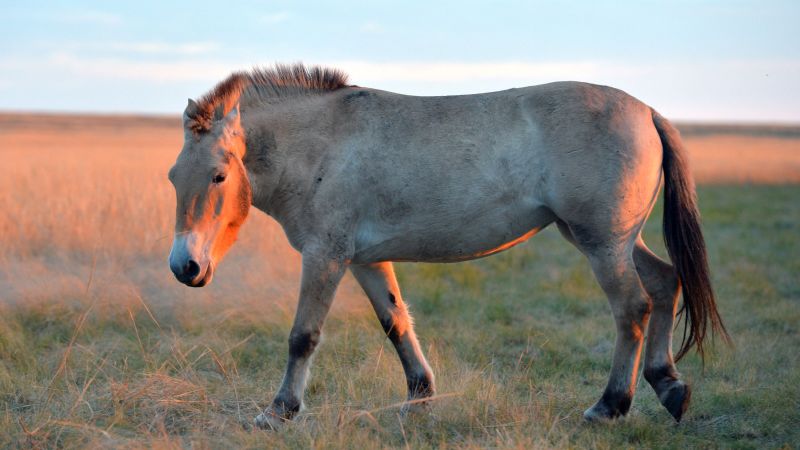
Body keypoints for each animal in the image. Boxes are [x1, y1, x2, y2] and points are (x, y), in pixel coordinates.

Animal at [169, 62, 732, 428]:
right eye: (175, 177)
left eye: (219, 175)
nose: (184, 267)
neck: (324, 142)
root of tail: (648, 112)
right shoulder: (365, 260)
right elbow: (396, 323)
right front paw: (420, 396)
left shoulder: (325, 256)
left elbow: (302, 336)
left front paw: (278, 411)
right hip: (609, 239)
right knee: (665, 283)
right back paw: (669, 385)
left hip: (602, 244)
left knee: (633, 307)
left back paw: (610, 405)